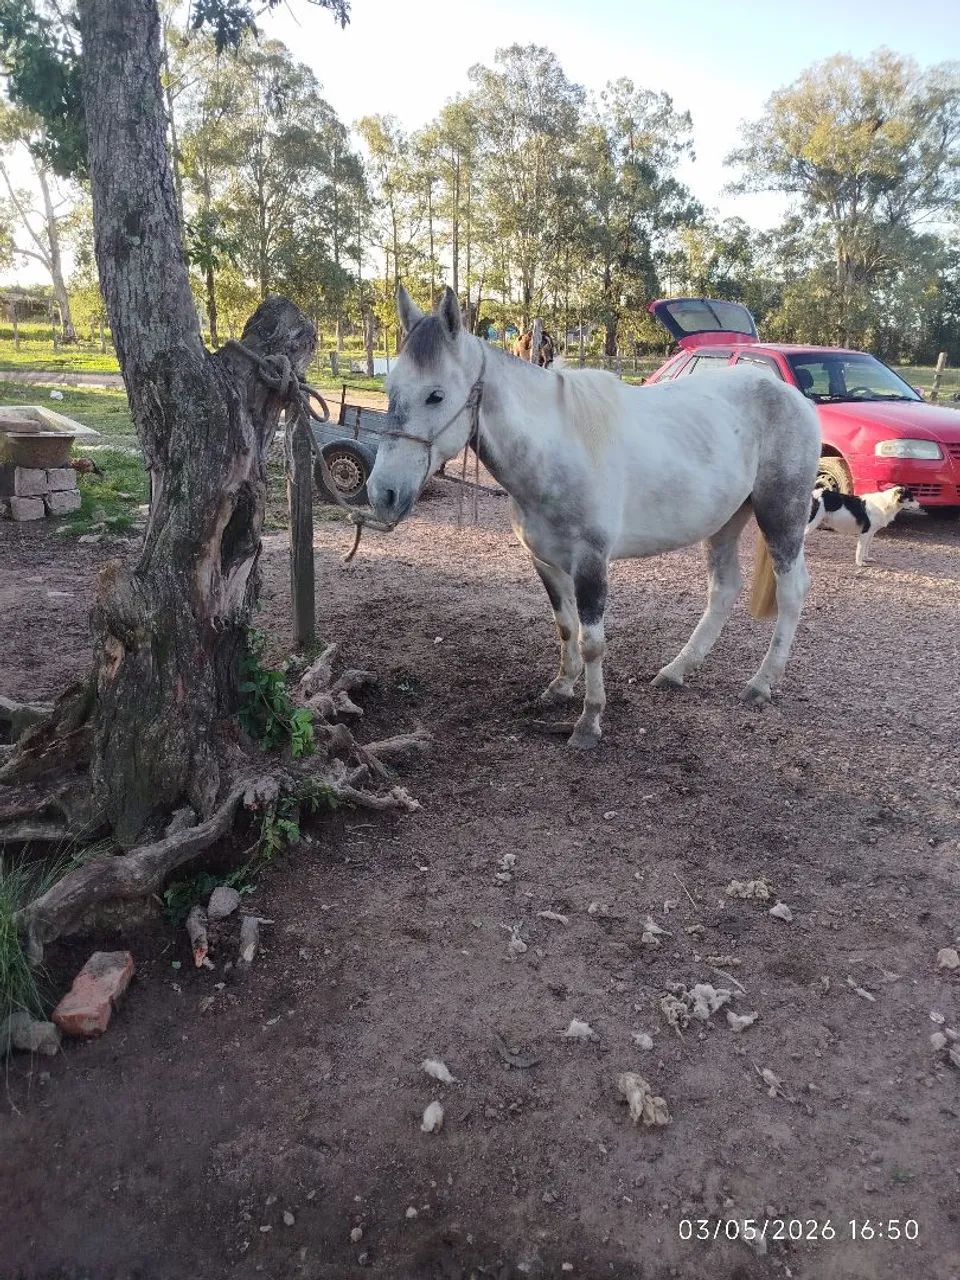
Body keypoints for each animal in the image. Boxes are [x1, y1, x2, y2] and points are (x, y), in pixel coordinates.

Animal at [368, 287, 820, 749]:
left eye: (436, 395)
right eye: (391, 387)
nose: (382, 492)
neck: (554, 449)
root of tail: (791, 395)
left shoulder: (591, 562)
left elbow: (592, 643)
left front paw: (589, 720)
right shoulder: (546, 562)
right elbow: (566, 627)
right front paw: (560, 688)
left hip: (780, 515)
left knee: (792, 592)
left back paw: (761, 683)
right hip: (724, 524)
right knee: (724, 590)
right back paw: (676, 671)